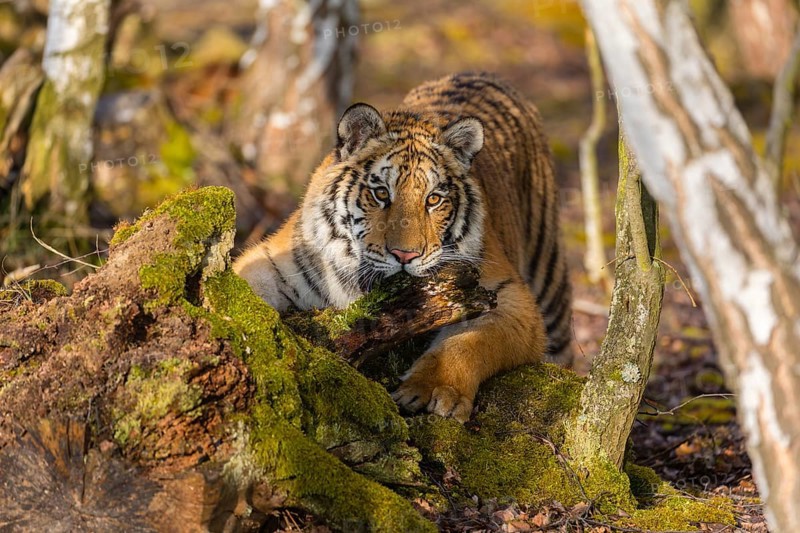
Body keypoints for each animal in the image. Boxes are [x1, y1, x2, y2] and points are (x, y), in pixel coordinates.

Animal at [234, 72, 572, 422]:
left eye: (433, 199)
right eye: (381, 193)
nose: (405, 255)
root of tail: (479, 74)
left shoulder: (507, 298)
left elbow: (469, 342)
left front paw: (435, 388)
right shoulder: (273, 262)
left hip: (550, 287)